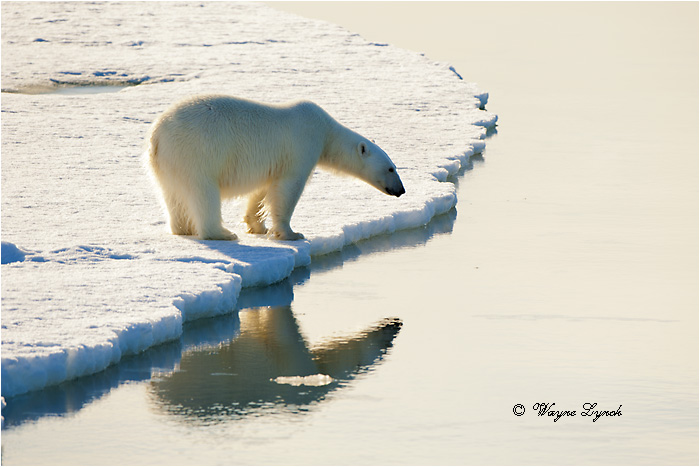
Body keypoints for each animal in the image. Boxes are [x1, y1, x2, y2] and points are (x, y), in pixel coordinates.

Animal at [147, 94, 405, 241]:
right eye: (391, 169)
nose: (401, 190)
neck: (326, 131)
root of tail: (157, 134)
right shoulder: (302, 145)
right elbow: (288, 189)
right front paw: (291, 234)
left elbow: (262, 190)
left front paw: (256, 225)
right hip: (197, 152)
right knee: (204, 193)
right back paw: (222, 233)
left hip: (168, 163)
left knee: (173, 196)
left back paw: (183, 229)